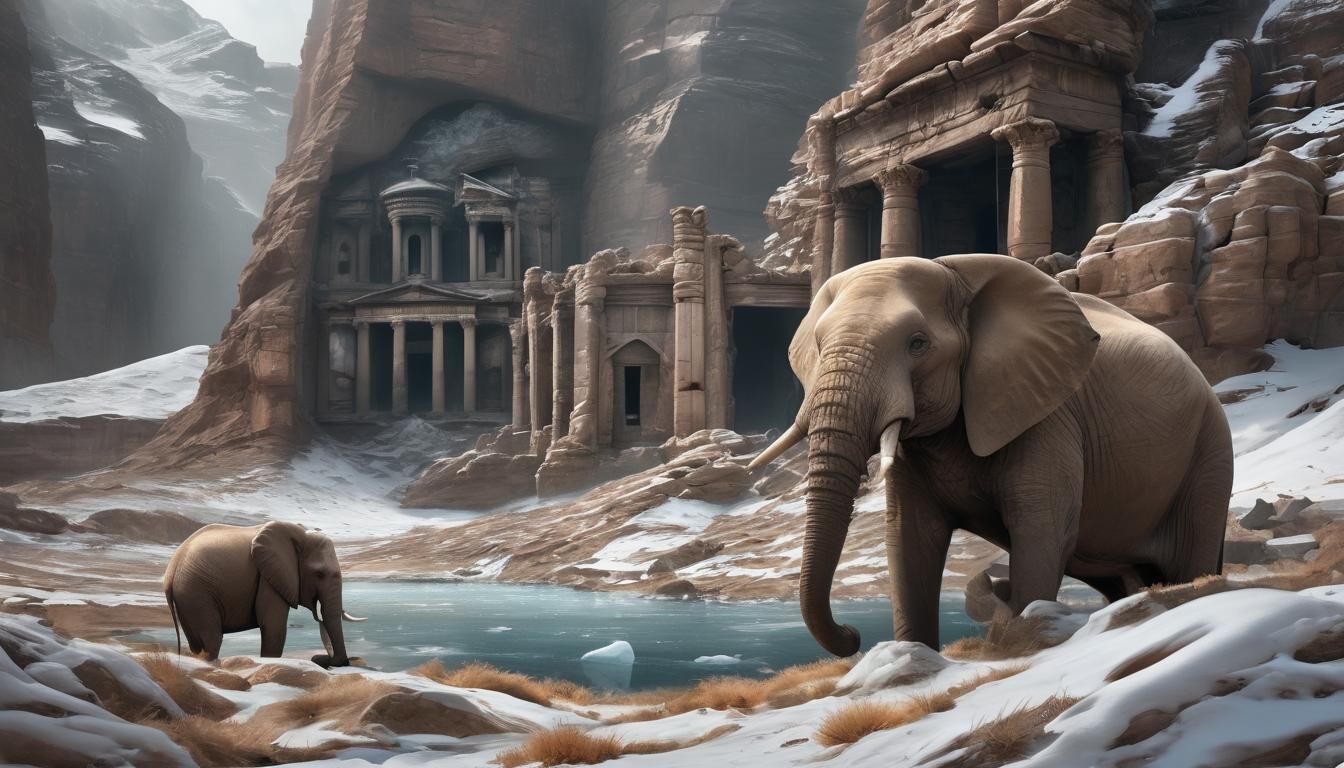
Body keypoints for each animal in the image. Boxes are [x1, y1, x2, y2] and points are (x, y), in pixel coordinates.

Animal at [163, 521, 365, 667]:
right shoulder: (269, 576)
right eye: (320, 574)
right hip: (197, 593)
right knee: (213, 640)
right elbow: (273, 627)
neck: (300, 534)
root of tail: (170, 572)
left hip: (188, 596)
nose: (318, 658)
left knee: (197, 644)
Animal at [749, 254, 1232, 656]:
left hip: (1209, 450)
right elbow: (909, 538)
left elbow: (1042, 531)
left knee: (1189, 557)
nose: (852, 636)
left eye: (917, 344)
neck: (956, 276)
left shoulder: (1047, 416)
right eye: (818, 344)